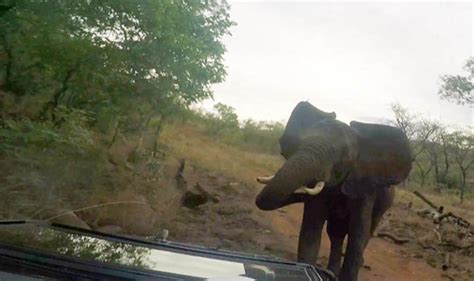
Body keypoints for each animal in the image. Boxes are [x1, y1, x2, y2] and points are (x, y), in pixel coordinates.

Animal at [256, 101, 412, 280]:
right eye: (300, 143)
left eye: (342, 157)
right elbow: (311, 228)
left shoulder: (364, 188)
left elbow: (358, 233)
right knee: (335, 233)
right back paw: (331, 272)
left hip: (383, 207)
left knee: (367, 232)